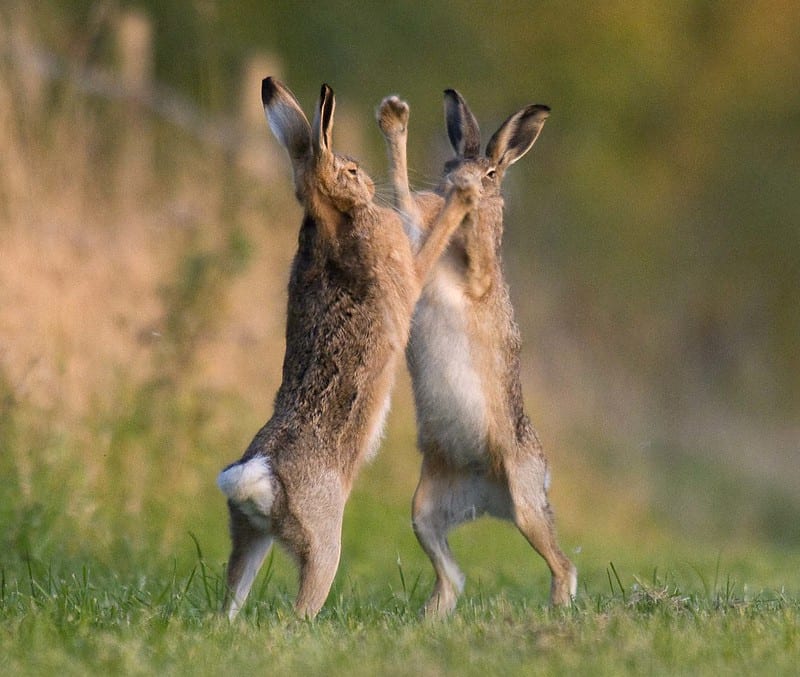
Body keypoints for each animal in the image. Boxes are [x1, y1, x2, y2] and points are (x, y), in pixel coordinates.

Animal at [216, 78, 479, 621]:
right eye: (352, 171)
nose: (369, 184)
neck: (331, 215)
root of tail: (260, 477)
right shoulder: (410, 268)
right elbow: (433, 241)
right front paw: (462, 197)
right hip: (323, 545)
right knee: (303, 604)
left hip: (248, 536)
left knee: (231, 594)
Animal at [376, 91, 577, 617]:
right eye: (448, 163)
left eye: (490, 174)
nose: (455, 184)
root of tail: (488, 500)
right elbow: (404, 200)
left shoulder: (477, 276)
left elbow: (477, 253)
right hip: (424, 509)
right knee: (451, 573)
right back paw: (429, 617)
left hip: (525, 502)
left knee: (562, 563)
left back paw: (558, 608)